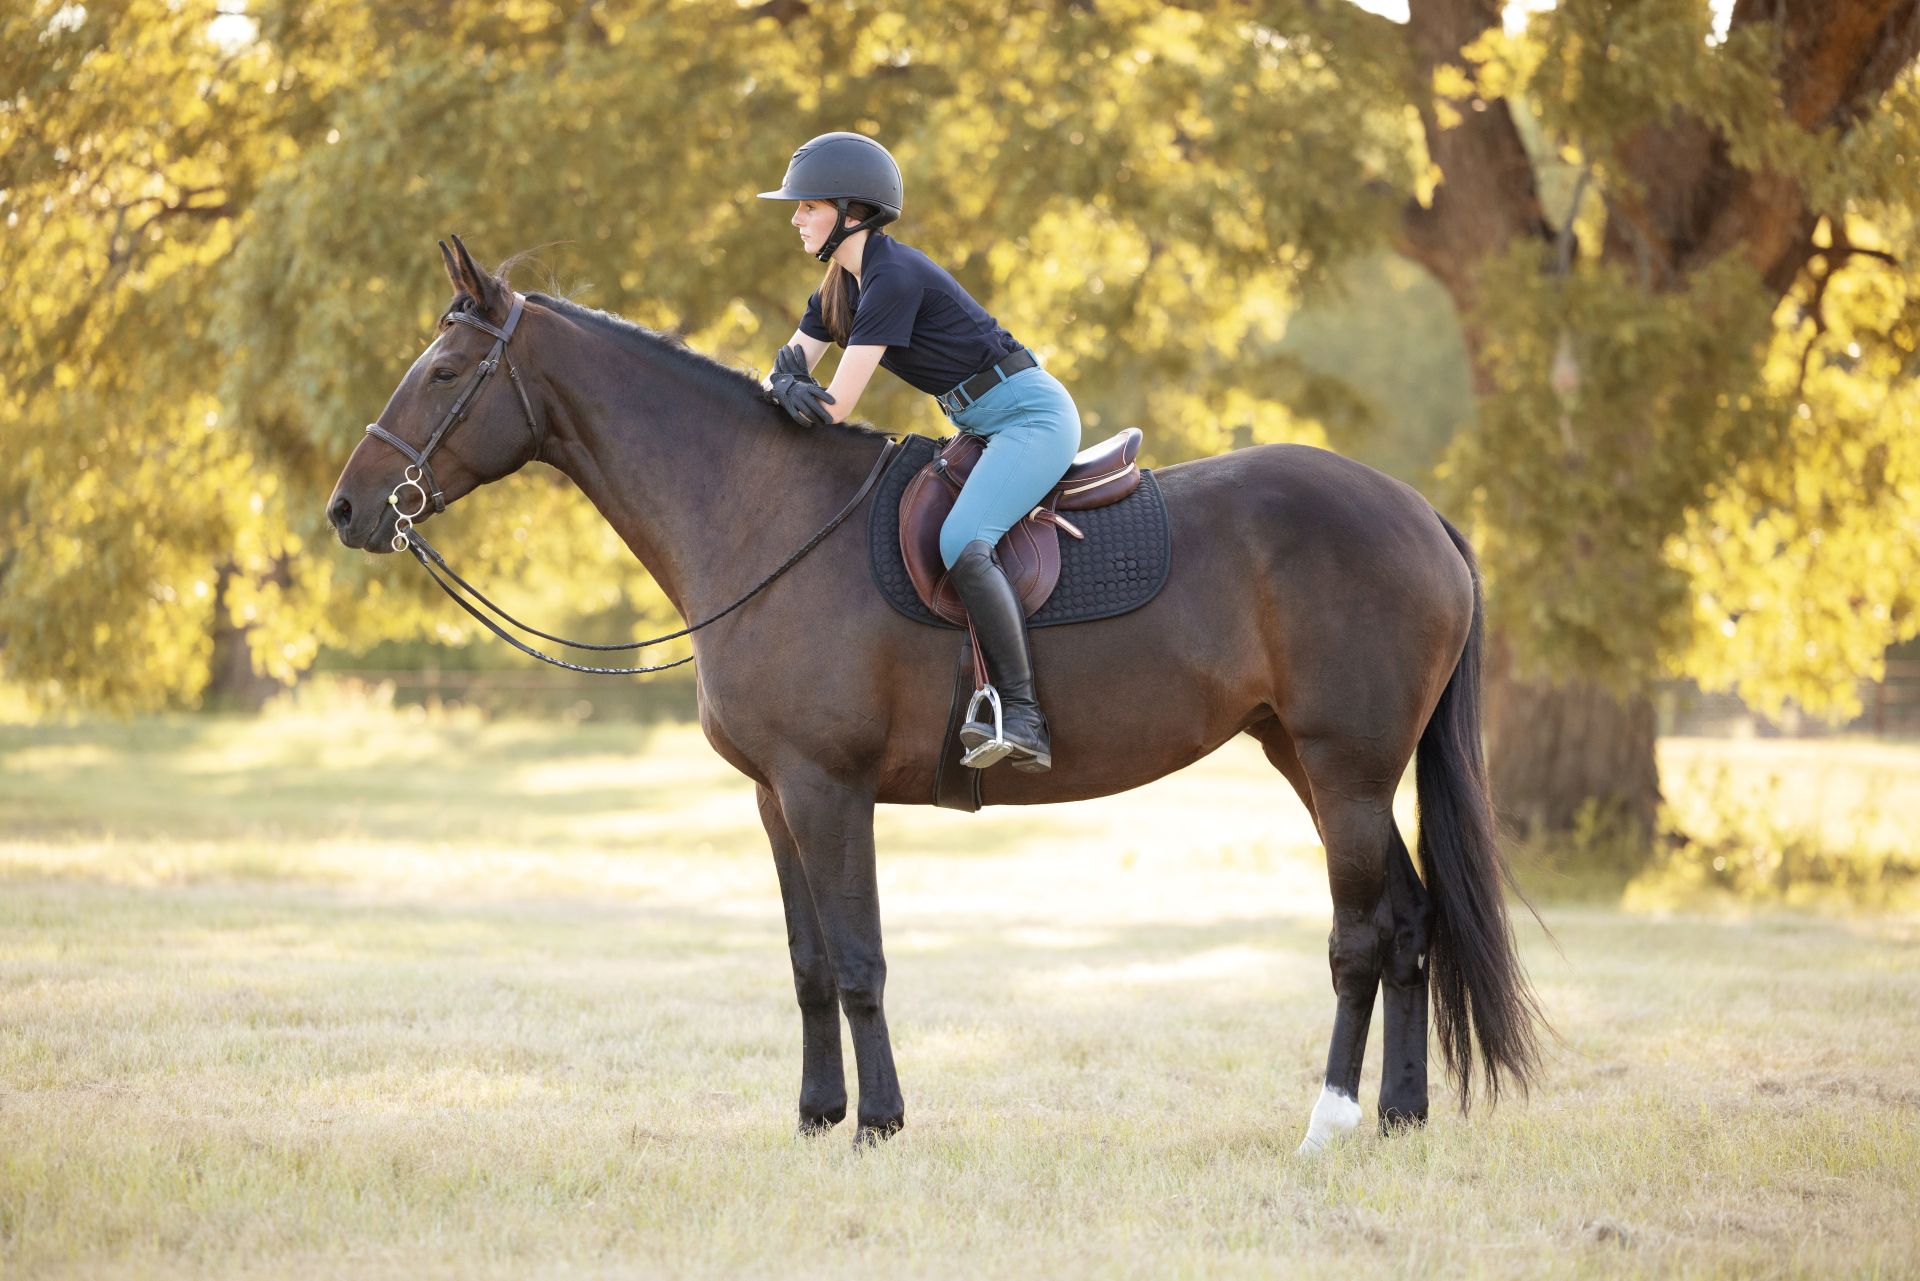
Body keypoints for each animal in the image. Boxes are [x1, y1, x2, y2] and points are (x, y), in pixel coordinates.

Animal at [326, 236, 1544, 1151]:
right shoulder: (775, 797)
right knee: (1409, 923)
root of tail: (1418, 512)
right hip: (1310, 759)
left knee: (1361, 939)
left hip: (1345, 768)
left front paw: (879, 1123)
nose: (348, 508)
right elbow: (810, 963)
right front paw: (817, 1116)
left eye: (443, 373)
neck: (761, 514)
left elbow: (860, 961)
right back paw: (1400, 1118)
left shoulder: (829, 790)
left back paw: (1329, 1123)